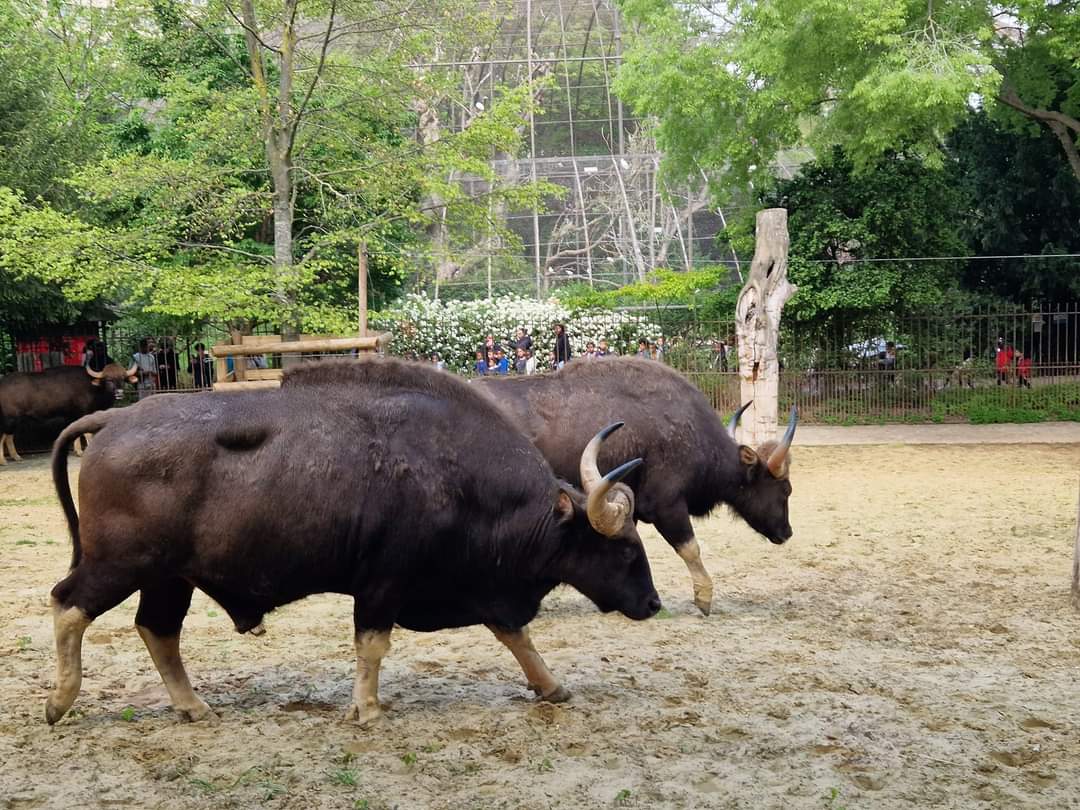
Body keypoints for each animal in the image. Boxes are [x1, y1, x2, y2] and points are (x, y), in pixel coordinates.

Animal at [0, 362, 137, 464]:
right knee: (2, 437)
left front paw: (78, 451)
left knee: (9, 437)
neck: (93, 387)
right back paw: (3, 461)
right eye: (108, 379)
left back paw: (16, 457)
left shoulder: (73, 416)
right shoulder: (84, 412)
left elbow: (75, 432)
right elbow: (86, 433)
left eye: (123, 378)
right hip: (9, 419)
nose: (119, 393)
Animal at [45, 359, 660, 726]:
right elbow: (373, 645)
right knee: (68, 604)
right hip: (120, 563)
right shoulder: (384, 583)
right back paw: (59, 702)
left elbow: (515, 634)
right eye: (625, 548)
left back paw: (194, 706)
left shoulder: (482, 588)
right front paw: (368, 709)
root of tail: (115, 421)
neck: (456, 475)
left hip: (169, 577)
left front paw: (551, 686)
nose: (652, 603)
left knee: (156, 629)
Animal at [475, 357, 796, 615]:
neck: (690, 432)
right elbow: (691, 549)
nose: (787, 532)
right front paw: (704, 599)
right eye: (785, 490)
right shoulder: (668, 506)